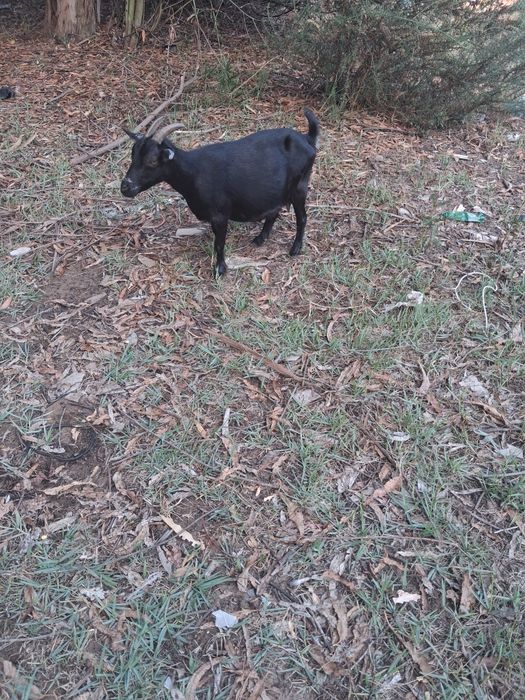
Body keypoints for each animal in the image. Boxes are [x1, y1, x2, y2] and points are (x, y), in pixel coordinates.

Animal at [121, 109, 319, 277]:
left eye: (153, 161)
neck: (194, 172)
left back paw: (295, 249)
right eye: (132, 155)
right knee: (274, 211)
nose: (125, 187)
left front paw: (220, 269)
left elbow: (219, 243)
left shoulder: (220, 214)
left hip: (300, 185)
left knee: (302, 217)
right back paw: (260, 239)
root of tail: (308, 139)